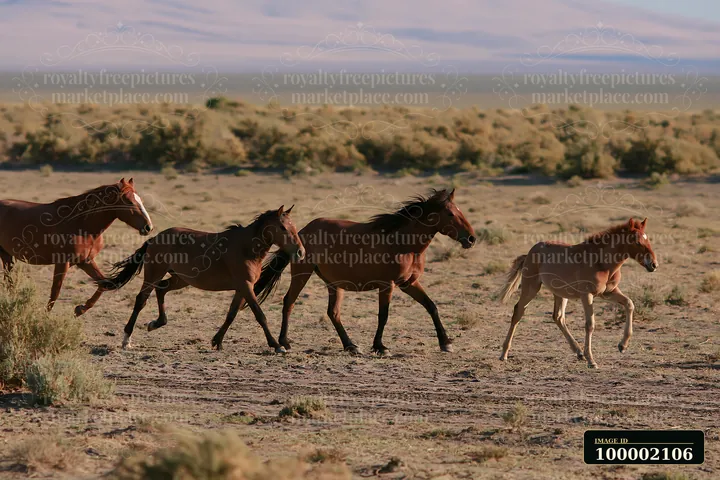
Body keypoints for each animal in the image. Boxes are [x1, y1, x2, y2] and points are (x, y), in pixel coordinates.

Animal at [0, 178, 153, 314]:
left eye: (140, 200)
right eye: (129, 201)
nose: (148, 227)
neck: (82, 225)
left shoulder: (85, 262)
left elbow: (105, 284)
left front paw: (80, 309)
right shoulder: (63, 263)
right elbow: (55, 291)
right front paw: (44, 317)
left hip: (7, 256)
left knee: (9, 282)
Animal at [97, 205, 305, 352]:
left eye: (294, 227)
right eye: (282, 227)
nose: (301, 252)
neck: (246, 248)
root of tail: (154, 239)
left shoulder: (242, 288)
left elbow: (231, 314)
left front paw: (217, 341)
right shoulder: (246, 286)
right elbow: (259, 315)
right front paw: (276, 345)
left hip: (180, 279)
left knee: (161, 289)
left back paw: (157, 323)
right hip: (154, 274)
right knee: (141, 299)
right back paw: (127, 339)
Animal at [248, 188, 476, 355]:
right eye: (450, 213)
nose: (471, 238)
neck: (403, 243)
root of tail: (301, 233)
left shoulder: (408, 283)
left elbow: (431, 306)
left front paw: (446, 343)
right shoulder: (387, 285)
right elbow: (383, 315)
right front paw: (380, 347)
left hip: (334, 284)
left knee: (333, 313)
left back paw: (350, 345)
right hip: (302, 274)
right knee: (289, 302)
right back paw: (284, 342)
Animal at [498, 217, 658, 368]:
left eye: (648, 239)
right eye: (637, 242)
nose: (653, 264)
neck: (601, 262)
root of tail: (529, 253)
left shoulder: (609, 292)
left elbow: (629, 304)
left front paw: (622, 345)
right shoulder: (586, 295)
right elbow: (590, 324)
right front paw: (592, 361)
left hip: (560, 293)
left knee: (558, 317)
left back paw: (579, 352)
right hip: (531, 287)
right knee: (518, 311)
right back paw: (504, 354)